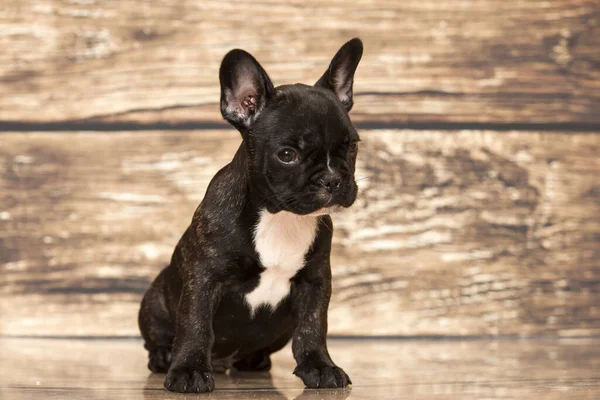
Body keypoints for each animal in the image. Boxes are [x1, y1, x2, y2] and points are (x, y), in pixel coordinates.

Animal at [138, 37, 364, 394]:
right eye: (287, 155)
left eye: (352, 146)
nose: (332, 178)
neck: (279, 216)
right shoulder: (205, 278)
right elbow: (195, 324)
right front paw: (188, 370)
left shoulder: (315, 282)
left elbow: (313, 327)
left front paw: (320, 366)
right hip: (155, 299)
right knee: (159, 338)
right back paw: (164, 357)